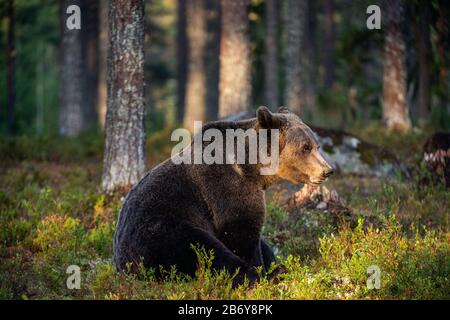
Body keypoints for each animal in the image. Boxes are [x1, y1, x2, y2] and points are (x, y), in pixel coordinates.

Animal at [113, 107, 334, 284]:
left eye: (317, 145)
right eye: (305, 147)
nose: (327, 170)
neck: (251, 168)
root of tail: (122, 267)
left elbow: (261, 242)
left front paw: (272, 261)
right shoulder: (227, 187)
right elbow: (241, 232)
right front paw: (263, 270)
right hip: (162, 234)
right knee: (206, 252)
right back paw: (272, 274)